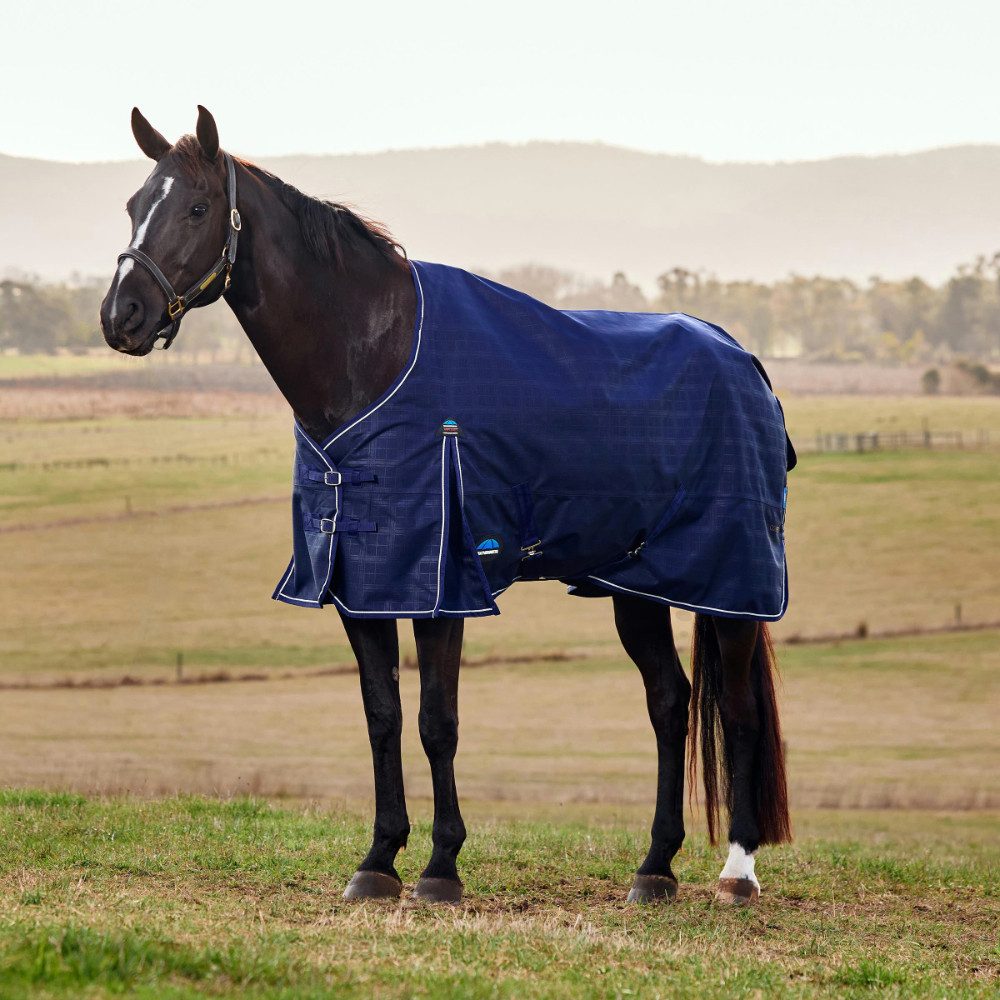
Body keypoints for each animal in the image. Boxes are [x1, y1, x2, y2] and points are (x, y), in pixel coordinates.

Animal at [100, 106, 792, 907]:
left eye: (198, 207)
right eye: (133, 204)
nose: (121, 316)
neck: (372, 358)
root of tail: (743, 359)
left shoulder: (440, 583)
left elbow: (438, 721)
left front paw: (440, 868)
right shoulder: (360, 583)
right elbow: (383, 716)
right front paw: (378, 859)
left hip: (731, 584)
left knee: (736, 710)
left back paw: (737, 872)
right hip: (636, 585)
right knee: (670, 704)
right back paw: (654, 867)